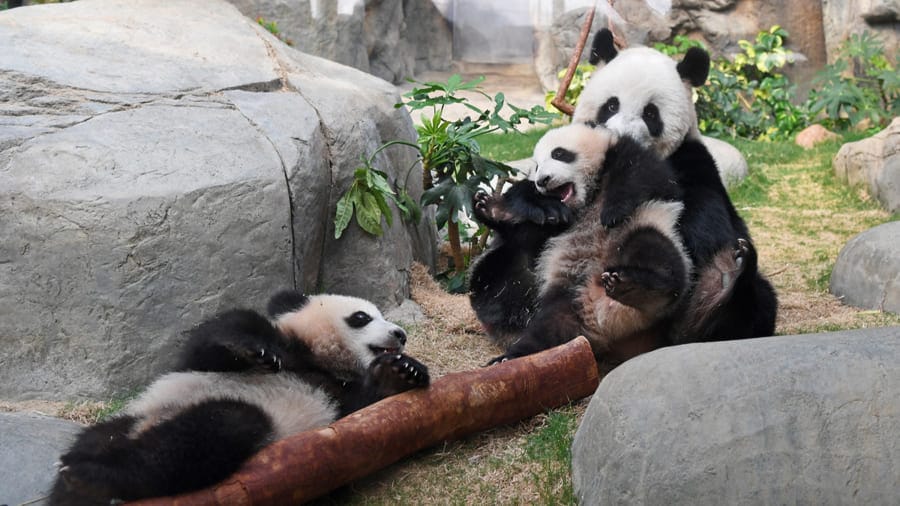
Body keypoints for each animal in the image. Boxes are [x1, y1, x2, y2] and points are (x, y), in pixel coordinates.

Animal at [49, 290, 430, 505]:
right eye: (361, 317)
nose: (400, 333)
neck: (318, 361)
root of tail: (146, 427)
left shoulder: (336, 401)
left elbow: (357, 412)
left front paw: (401, 372)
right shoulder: (277, 345)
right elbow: (209, 344)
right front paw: (249, 348)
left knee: (210, 433)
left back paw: (90, 480)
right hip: (140, 412)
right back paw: (81, 482)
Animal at [473, 123, 692, 370]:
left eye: (559, 153)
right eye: (536, 166)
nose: (543, 180)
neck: (588, 199)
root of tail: (599, 309)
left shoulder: (630, 159)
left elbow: (644, 175)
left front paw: (613, 212)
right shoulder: (548, 229)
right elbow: (530, 227)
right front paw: (523, 209)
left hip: (642, 232)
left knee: (657, 256)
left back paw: (634, 287)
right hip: (565, 299)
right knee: (545, 331)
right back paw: (509, 358)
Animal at [572, 28, 778, 343]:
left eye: (650, 113)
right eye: (611, 105)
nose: (622, 135)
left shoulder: (691, 161)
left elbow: (704, 218)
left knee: (758, 301)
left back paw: (723, 291)